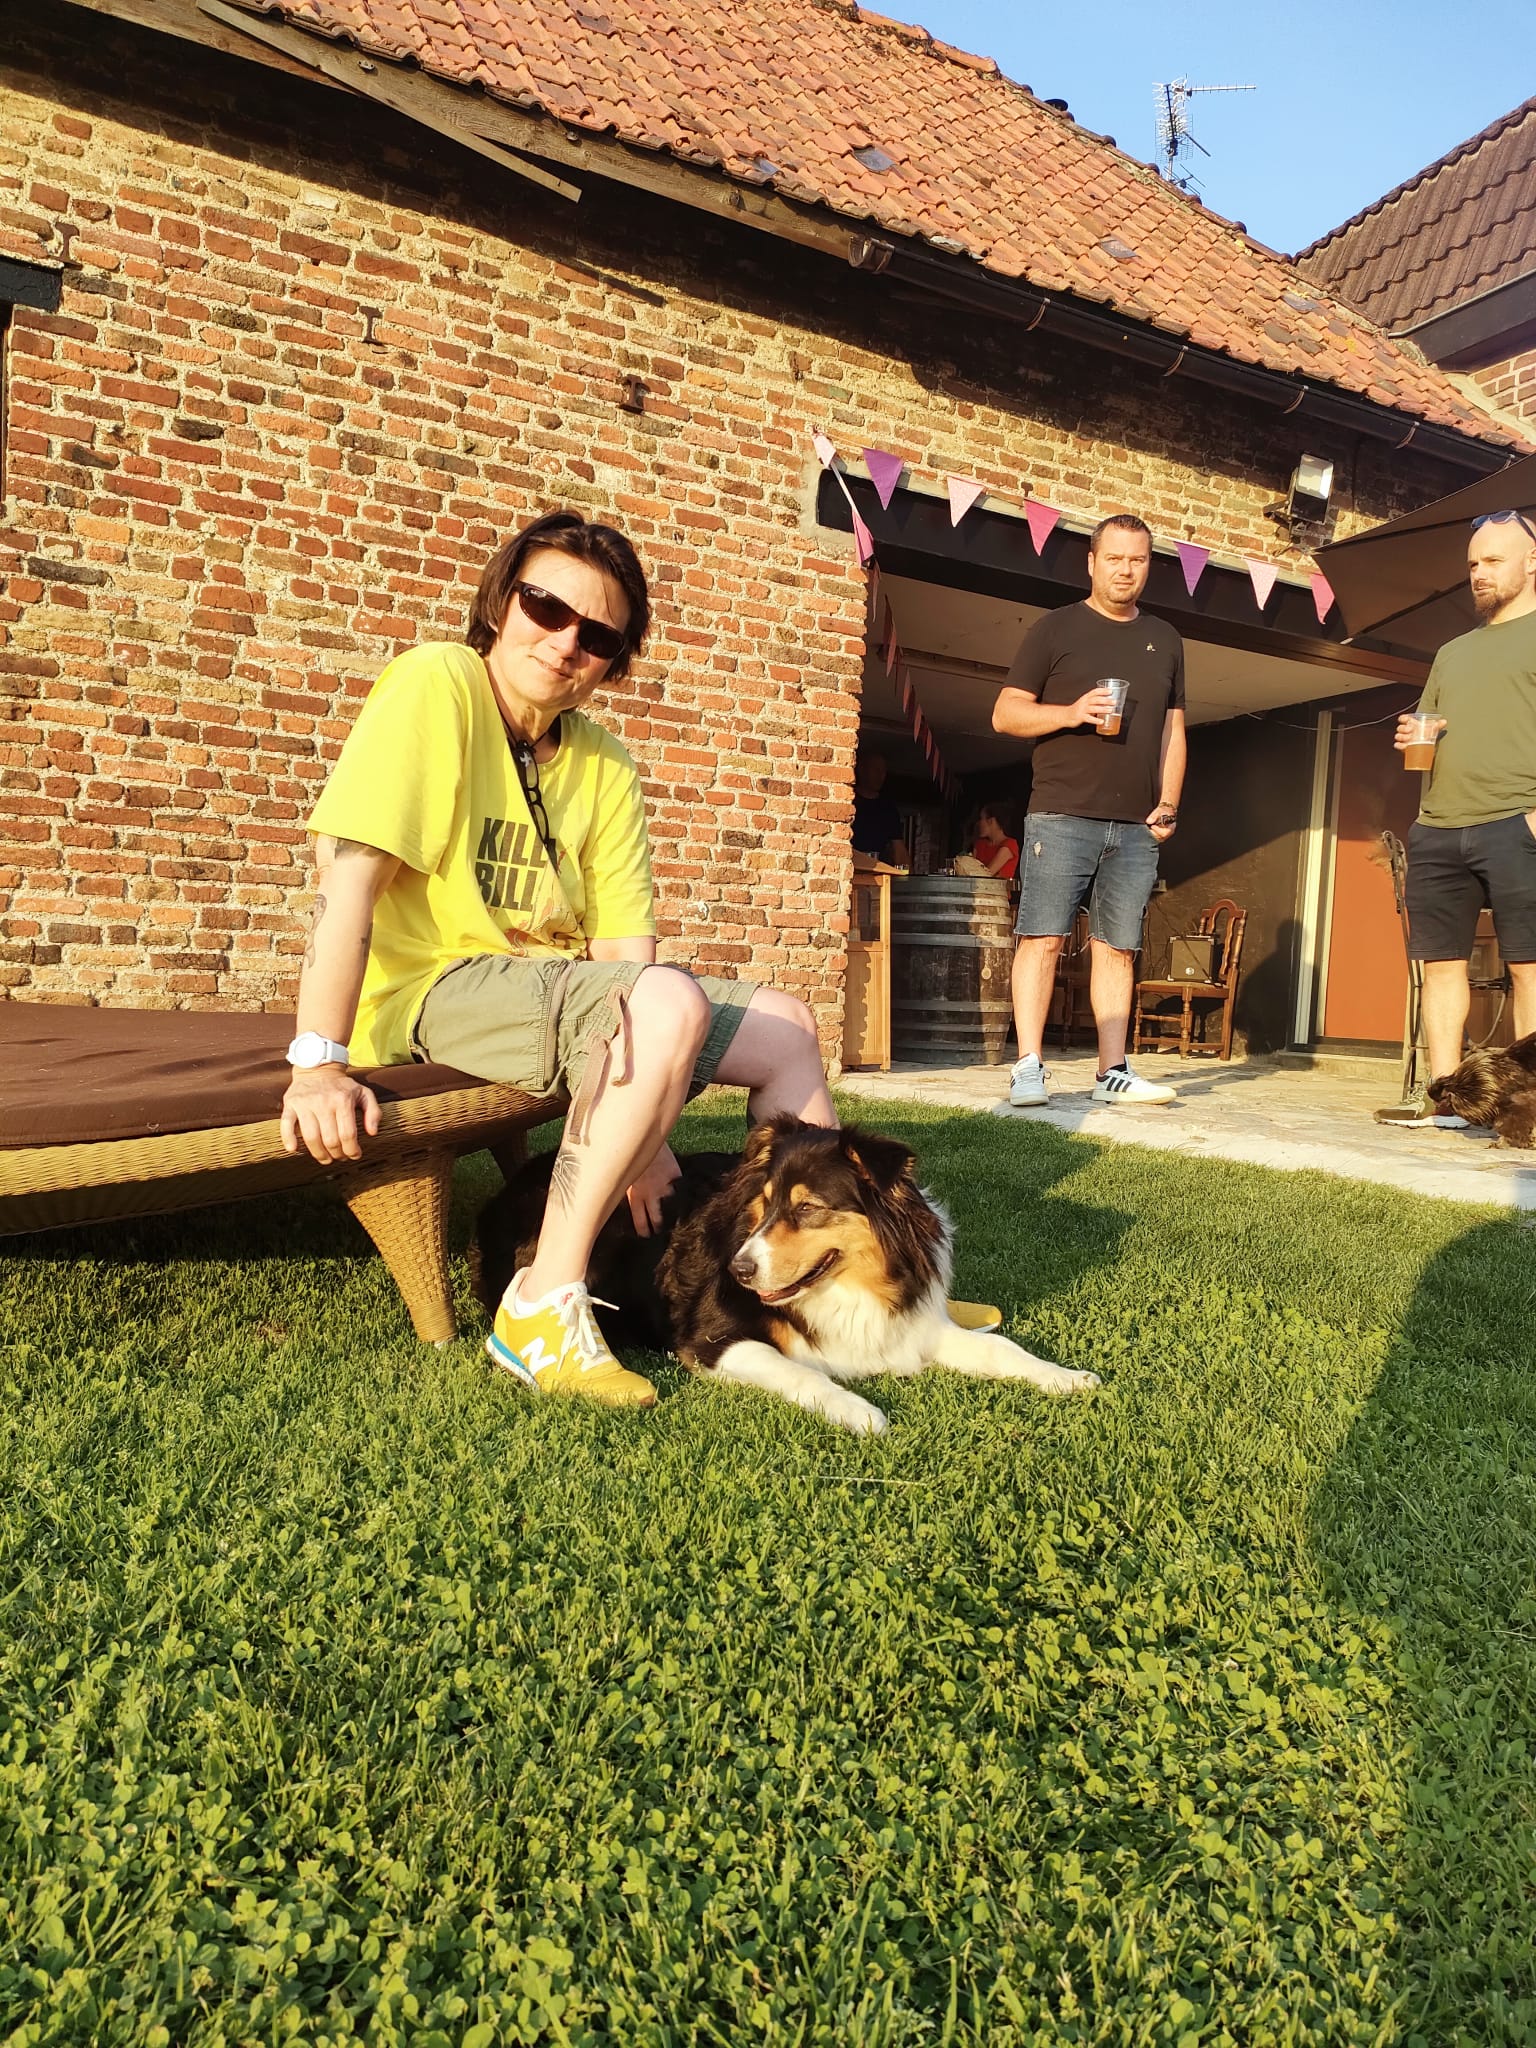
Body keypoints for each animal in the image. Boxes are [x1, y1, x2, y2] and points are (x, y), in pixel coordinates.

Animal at [474, 1115, 1099, 1432]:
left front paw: (1065, 1377)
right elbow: (803, 1373)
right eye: (765, 1203)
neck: (844, 1287)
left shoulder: (908, 1326)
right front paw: (860, 1411)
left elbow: (1000, 1349)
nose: (739, 1269)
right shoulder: (711, 1341)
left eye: (806, 1208)